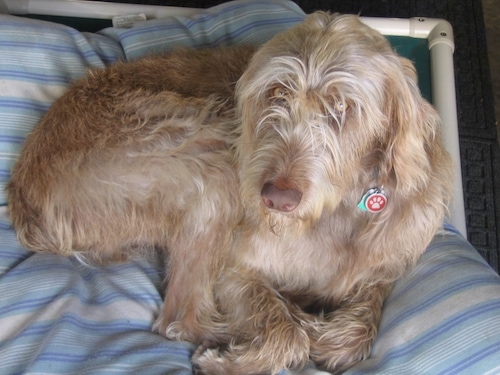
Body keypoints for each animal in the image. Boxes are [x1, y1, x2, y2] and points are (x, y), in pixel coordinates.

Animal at [7, 11, 454, 375]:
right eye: (276, 94)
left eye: (342, 107)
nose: (276, 197)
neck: (336, 214)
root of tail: (22, 188)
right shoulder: (236, 270)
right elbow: (287, 333)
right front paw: (285, 334)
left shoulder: (384, 266)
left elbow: (362, 323)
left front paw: (330, 330)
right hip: (211, 154)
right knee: (179, 319)